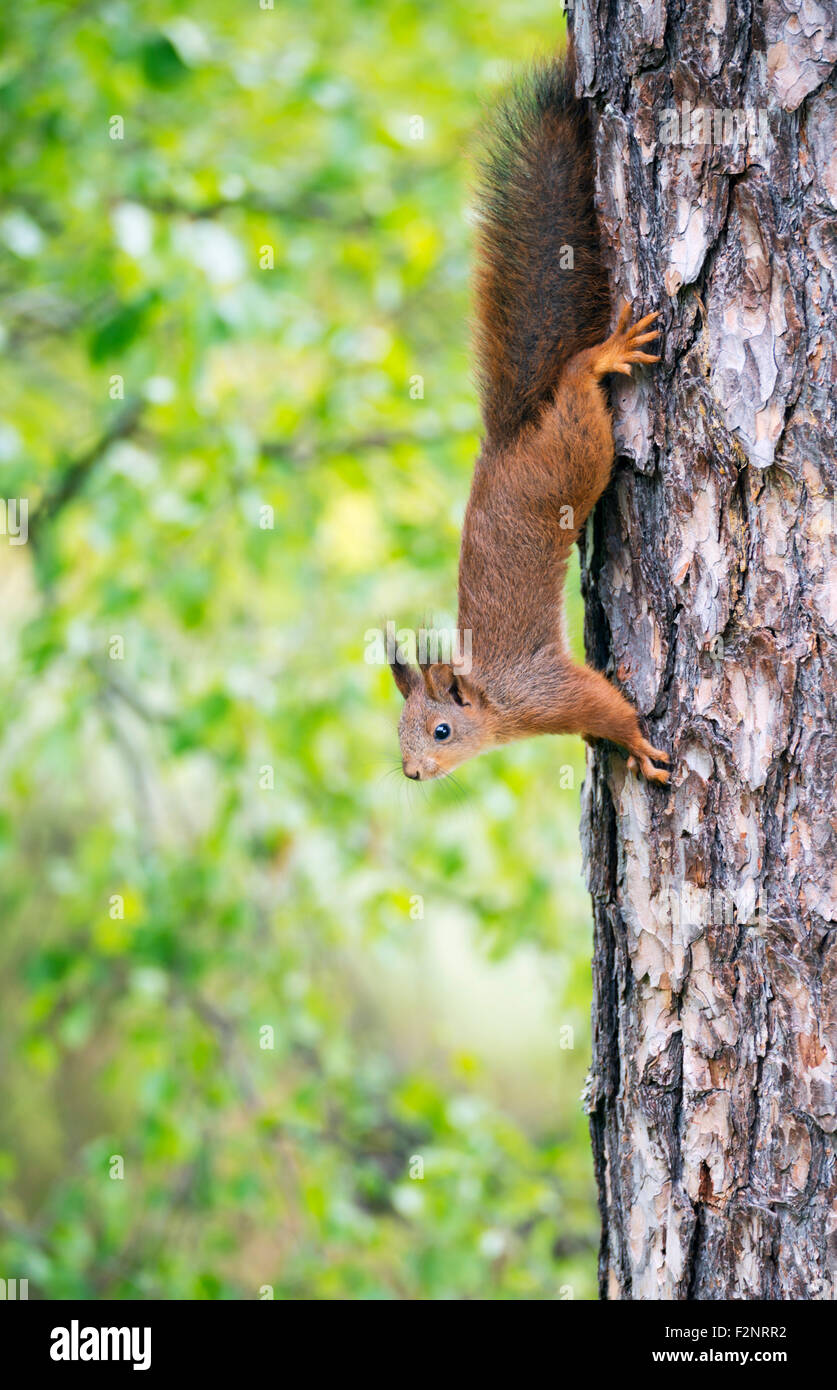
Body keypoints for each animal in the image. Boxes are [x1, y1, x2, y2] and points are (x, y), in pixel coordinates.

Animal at [386, 48, 667, 789]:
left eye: (441, 730)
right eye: (398, 735)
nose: (413, 774)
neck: (492, 698)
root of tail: (508, 440)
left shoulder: (547, 690)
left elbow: (606, 704)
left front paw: (637, 744)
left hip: (577, 446)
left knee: (576, 381)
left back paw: (604, 356)